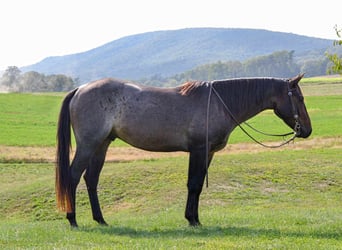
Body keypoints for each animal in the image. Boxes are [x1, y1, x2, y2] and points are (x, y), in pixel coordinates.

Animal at [54, 73, 312, 227]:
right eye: (299, 98)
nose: (307, 130)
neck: (218, 103)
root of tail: (80, 89)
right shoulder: (199, 150)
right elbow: (194, 184)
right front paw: (192, 220)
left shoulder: (207, 153)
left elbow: (195, 186)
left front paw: (194, 218)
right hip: (88, 145)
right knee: (73, 177)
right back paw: (73, 219)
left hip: (102, 145)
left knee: (91, 179)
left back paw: (100, 219)